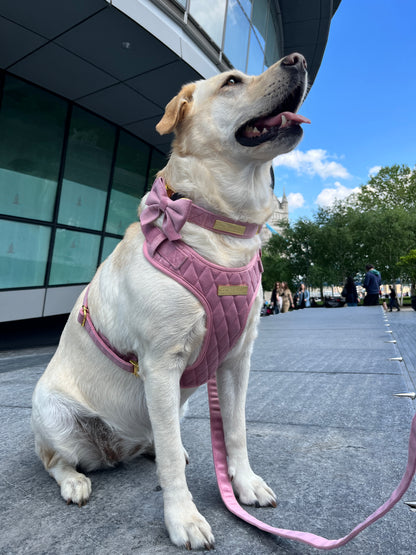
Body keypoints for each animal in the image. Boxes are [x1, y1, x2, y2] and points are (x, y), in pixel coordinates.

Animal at [30, 53, 308, 552]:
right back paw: (76, 481)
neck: (220, 225)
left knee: (162, 441)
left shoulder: (236, 360)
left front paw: (243, 484)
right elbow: (174, 471)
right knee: (55, 460)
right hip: (53, 414)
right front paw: (184, 518)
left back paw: (162, 448)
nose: (297, 59)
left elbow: (235, 430)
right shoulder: (160, 364)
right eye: (231, 81)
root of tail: (113, 449)